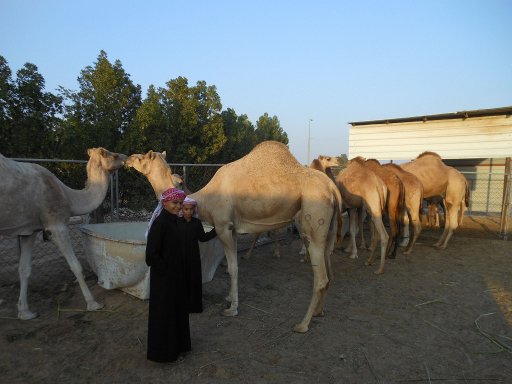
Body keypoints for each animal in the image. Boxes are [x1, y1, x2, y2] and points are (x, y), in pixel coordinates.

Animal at [0, 148, 127, 320]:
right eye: (113, 155)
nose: (127, 157)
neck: (68, 197)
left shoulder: (29, 231)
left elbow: (24, 268)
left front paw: (25, 312)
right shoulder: (56, 225)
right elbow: (76, 266)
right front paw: (93, 303)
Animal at [127, 142, 344, 332]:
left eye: (141, 157)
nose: (127, 158)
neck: (204, 199)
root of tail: (333, 189)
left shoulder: (223, 227)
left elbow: (232, 268)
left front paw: (232, 309)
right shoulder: (233, 229)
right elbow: (233, 266)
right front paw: (230, 299)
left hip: (313, 224)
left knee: (321, 278)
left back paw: (302, 324)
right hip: (327, 232)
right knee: (329, 273)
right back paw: (318, 312)